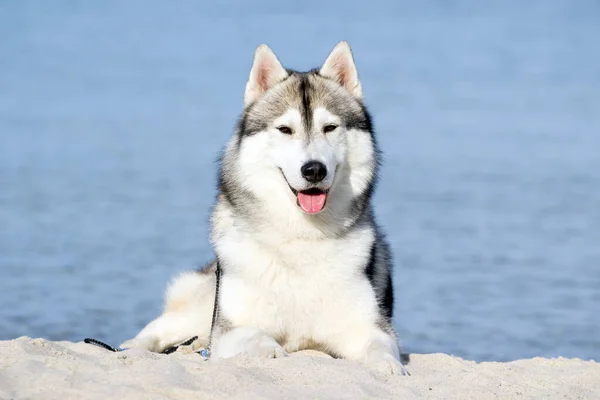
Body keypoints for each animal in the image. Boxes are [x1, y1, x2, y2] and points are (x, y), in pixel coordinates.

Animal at [119, 41, 406, 376]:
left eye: (330, 127)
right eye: (285, 129)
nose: (314, 170)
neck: (300, 238)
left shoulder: (367, 326)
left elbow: (381, 346)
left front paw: (389, 366)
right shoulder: (227, 331)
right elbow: (255, 336)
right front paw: (273, 352)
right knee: (158, 329)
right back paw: (130, 349)